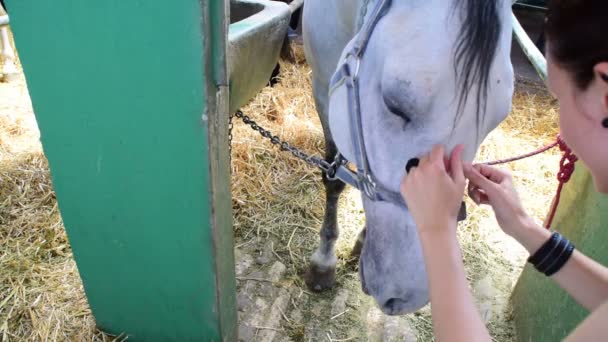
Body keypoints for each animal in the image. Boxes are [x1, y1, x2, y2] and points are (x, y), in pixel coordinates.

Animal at [302, 0, 516, 316]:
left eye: (496, 120)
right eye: (395, 104)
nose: (408, 295)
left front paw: (362, 239)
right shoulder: (322, 87)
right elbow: (334, 180)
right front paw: (324, 260)